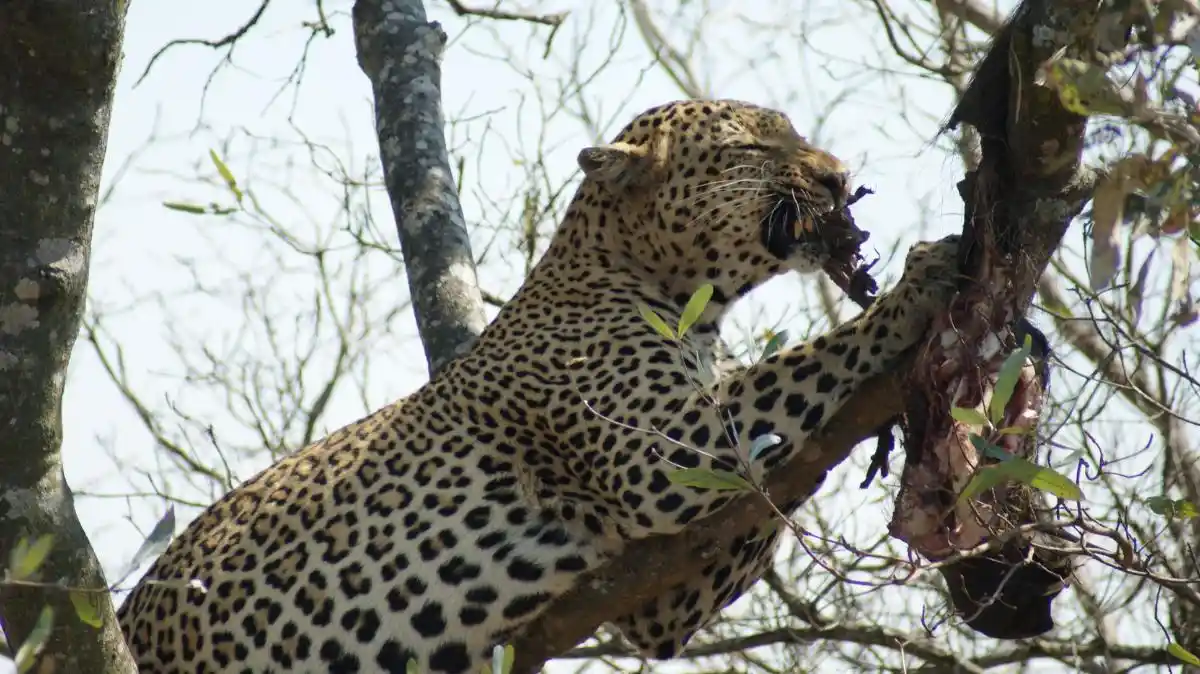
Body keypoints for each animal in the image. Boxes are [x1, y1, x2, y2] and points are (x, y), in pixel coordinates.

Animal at [117, 99, 960, 673]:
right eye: (754, 144)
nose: (839, 178)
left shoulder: (661, 601)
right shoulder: (661, 452)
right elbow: (803, 362)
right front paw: (916, 288)